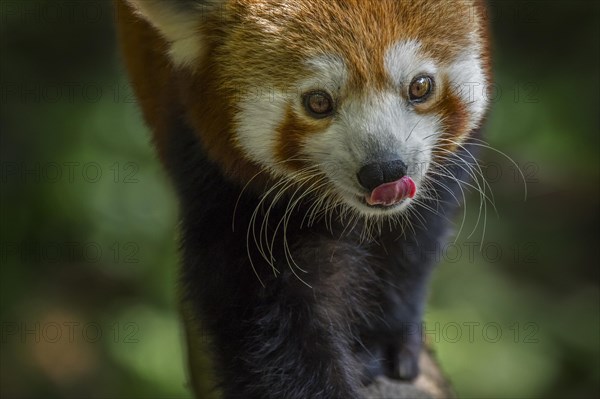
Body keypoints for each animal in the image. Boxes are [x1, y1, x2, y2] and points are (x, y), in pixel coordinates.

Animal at [115, 0, 490, 396]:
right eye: (318, 102)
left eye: (420, 86)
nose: (384, 171)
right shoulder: (222, 180)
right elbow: (267, 318)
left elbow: (413, 239)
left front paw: (386, 333)